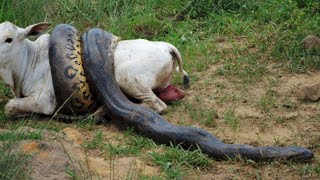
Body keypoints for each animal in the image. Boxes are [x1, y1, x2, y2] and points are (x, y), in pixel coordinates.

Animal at [0, 21, 189, 116]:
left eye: (9, 39)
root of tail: (167, 47)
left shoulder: (44, 101)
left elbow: (9, 106)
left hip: (127, 78)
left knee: (157, 105)